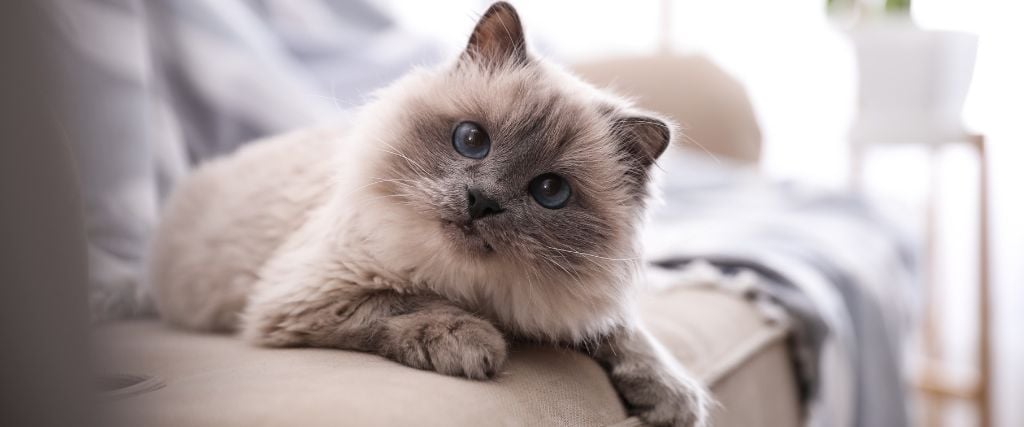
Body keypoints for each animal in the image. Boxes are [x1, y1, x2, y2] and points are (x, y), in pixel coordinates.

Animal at [151, 3, 708, 425]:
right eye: (472, 140)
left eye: (550, 191)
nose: (482, 201)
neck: (478, 289)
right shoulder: (315, 293)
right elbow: (411, 304)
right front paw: (474, 343)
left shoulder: (566, 307)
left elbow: (630, 336)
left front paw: (673, 400)